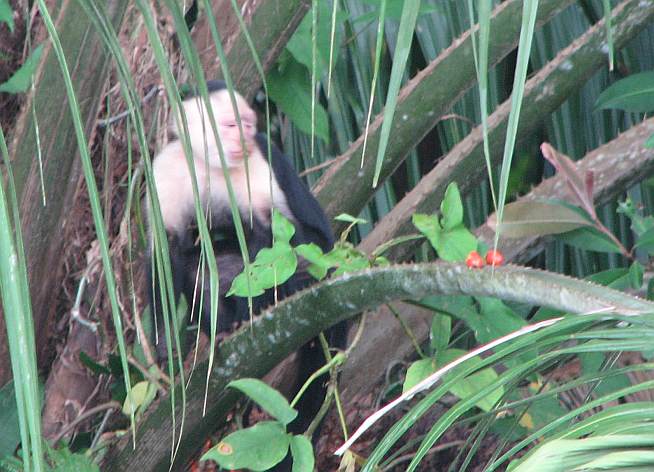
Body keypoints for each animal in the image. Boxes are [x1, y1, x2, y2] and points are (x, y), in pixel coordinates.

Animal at [147, 80, 346, 458]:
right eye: (229, 125)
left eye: (250, 125)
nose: (245, 138)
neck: (210, 166)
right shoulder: (164, 169)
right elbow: (168, 252)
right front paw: (165, 341)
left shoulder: (259, 163)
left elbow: (269, 234)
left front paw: (250, 309)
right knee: (200, 269)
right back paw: (222, 329)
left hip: (321, 262)